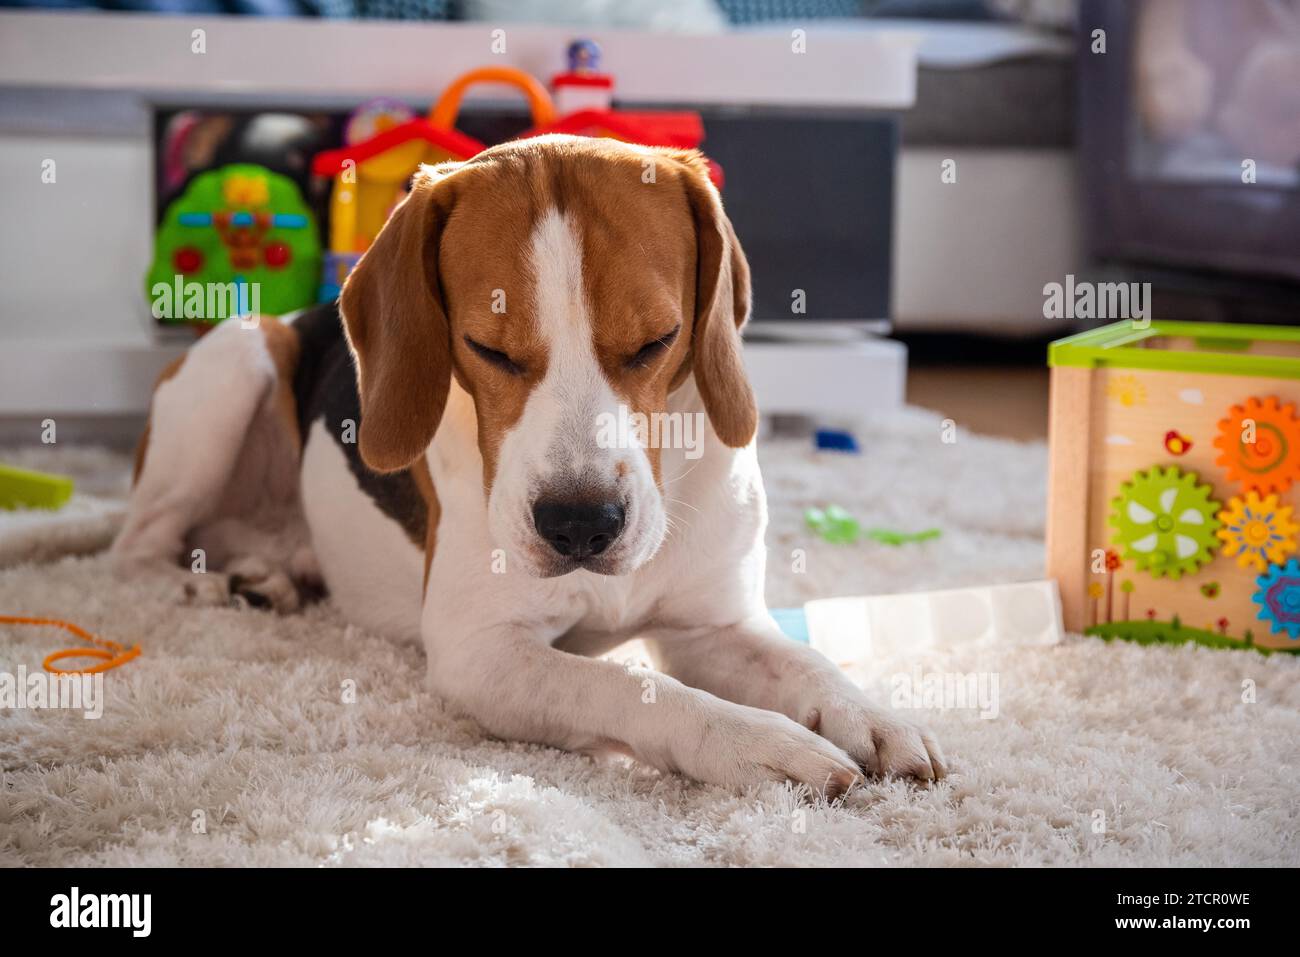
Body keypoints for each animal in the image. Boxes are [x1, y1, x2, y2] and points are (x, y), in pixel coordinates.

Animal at [114, 134, 946, 790]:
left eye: (657, 339)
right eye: (488, 348)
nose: (580, 525)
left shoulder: (714, 624)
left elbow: (805, 665)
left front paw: (870, 713)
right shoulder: (482, 654)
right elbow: (631, 684)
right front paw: (757, 742)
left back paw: (272, 577)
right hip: (238, 358)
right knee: (138, 547)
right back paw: (206, 585)